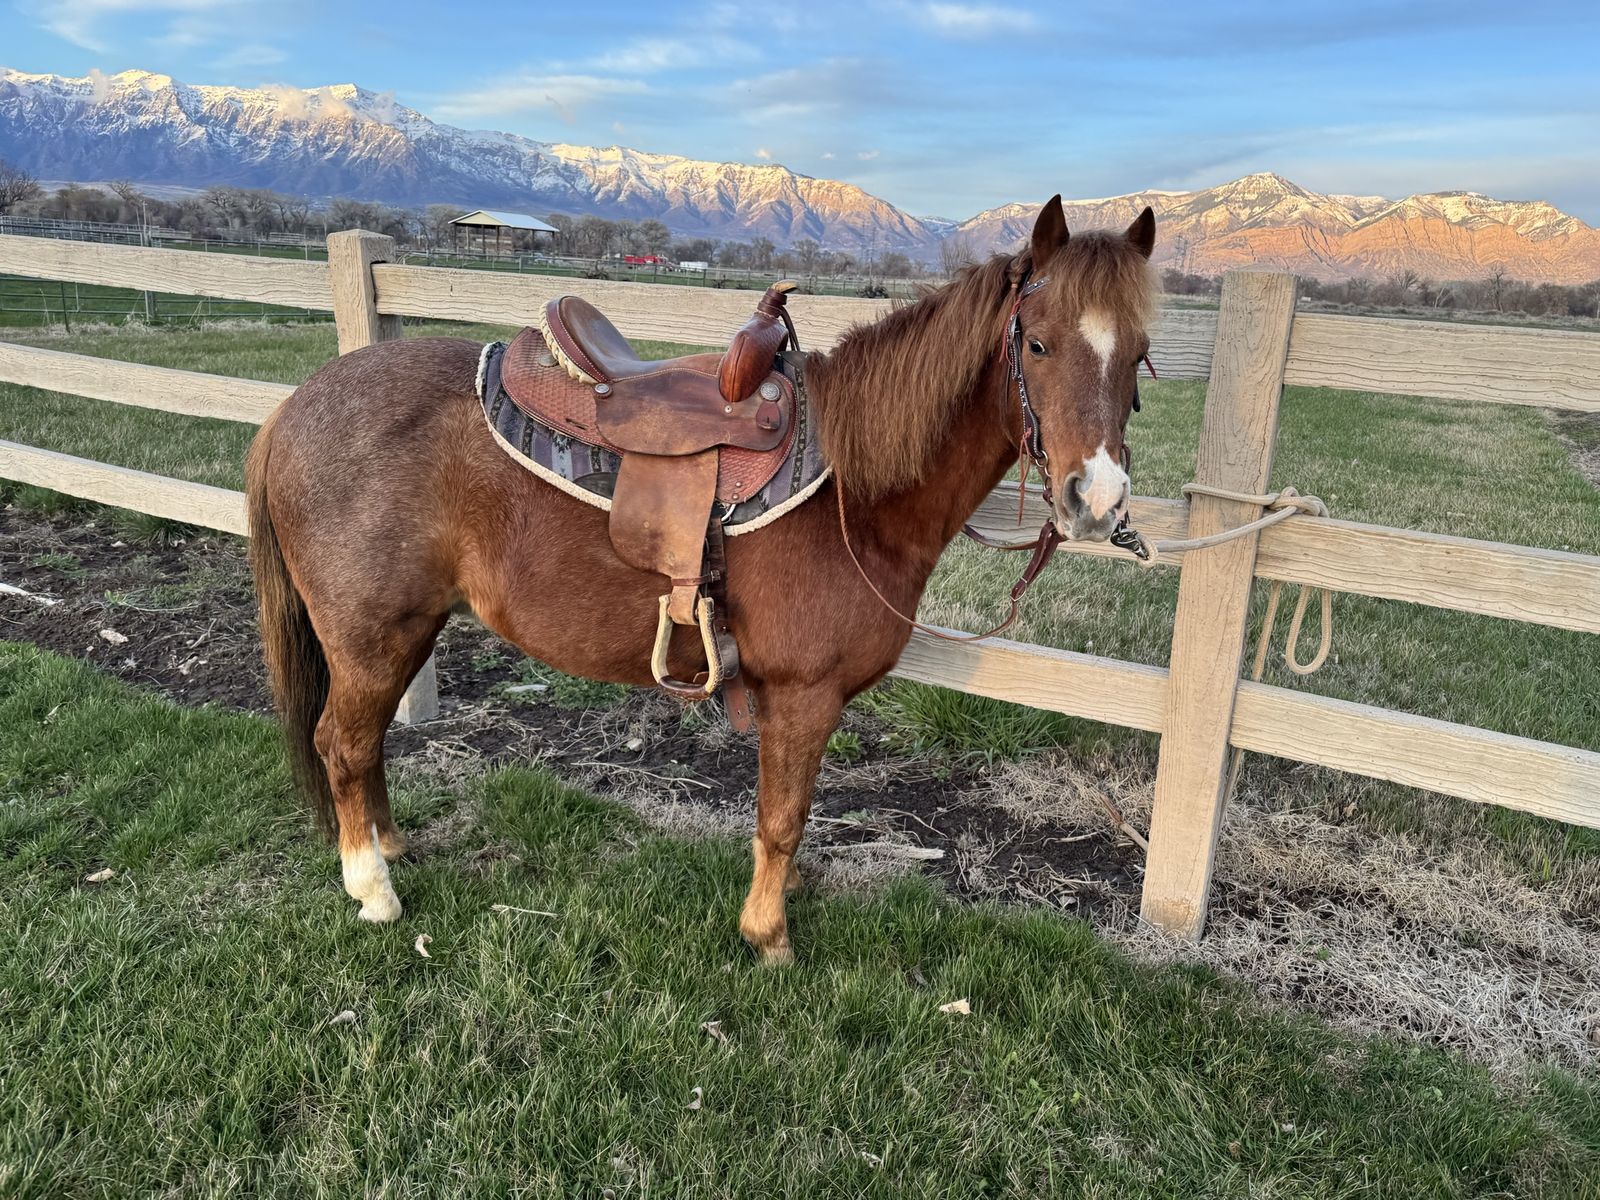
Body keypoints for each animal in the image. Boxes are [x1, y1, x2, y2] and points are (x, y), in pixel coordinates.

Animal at [245, 198, 1158, 963]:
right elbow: (783, 818)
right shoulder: (804, 694)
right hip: (372, 636)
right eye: (1036, 343)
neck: (852, 489)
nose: (1098, 499)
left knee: (363, 747)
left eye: (1142, 358)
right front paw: (769, 934)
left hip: (406, 631)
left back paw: (390, 848)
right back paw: (373, 889)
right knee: (342, 743)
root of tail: (290, 411)